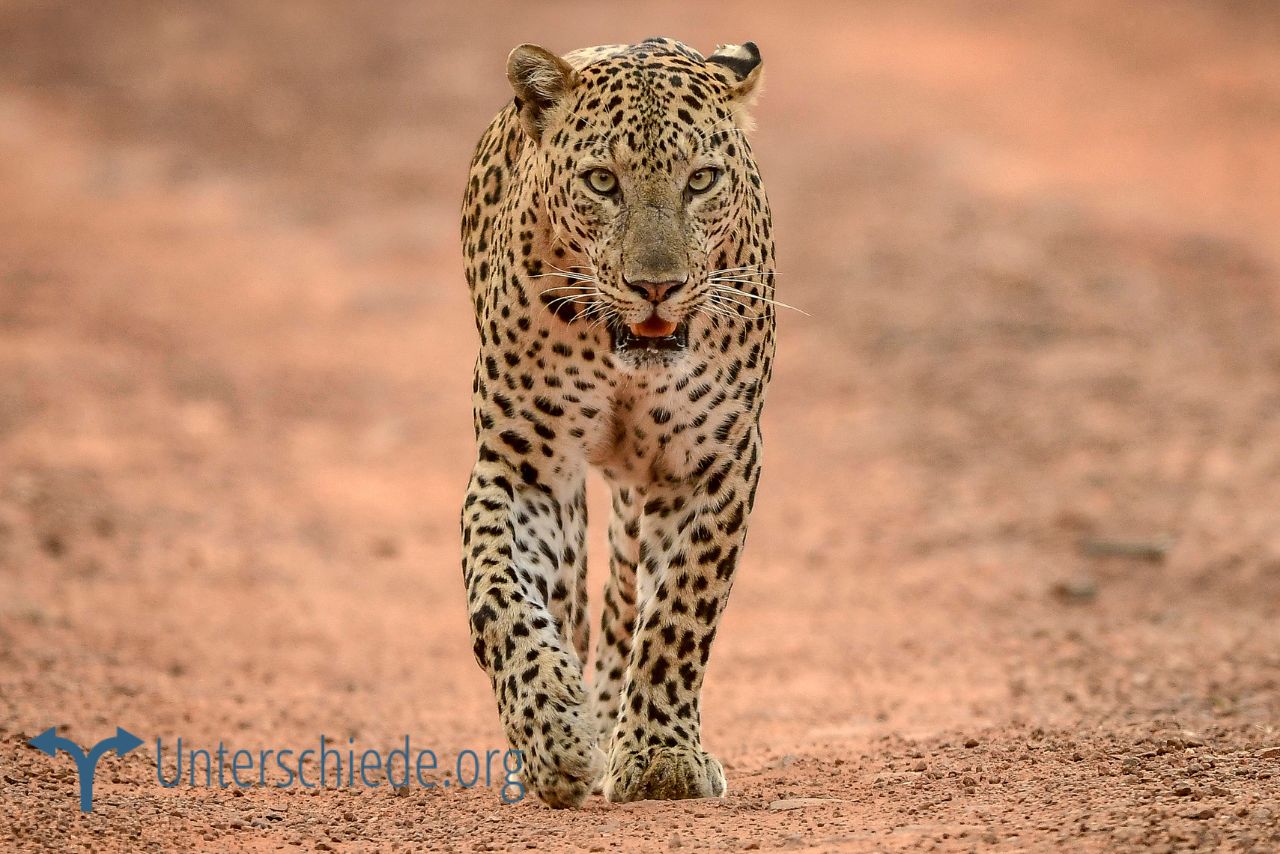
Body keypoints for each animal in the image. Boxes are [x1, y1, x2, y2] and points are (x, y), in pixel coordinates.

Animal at [459, 35, 776, 808]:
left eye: (701, 180)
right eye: (603, 182)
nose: (656, 286)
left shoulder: (713, 464)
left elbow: (680, 612)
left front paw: (661, 756)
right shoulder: (525, 468)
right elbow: (499, 599)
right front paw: (555, 734)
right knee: (571, 599)